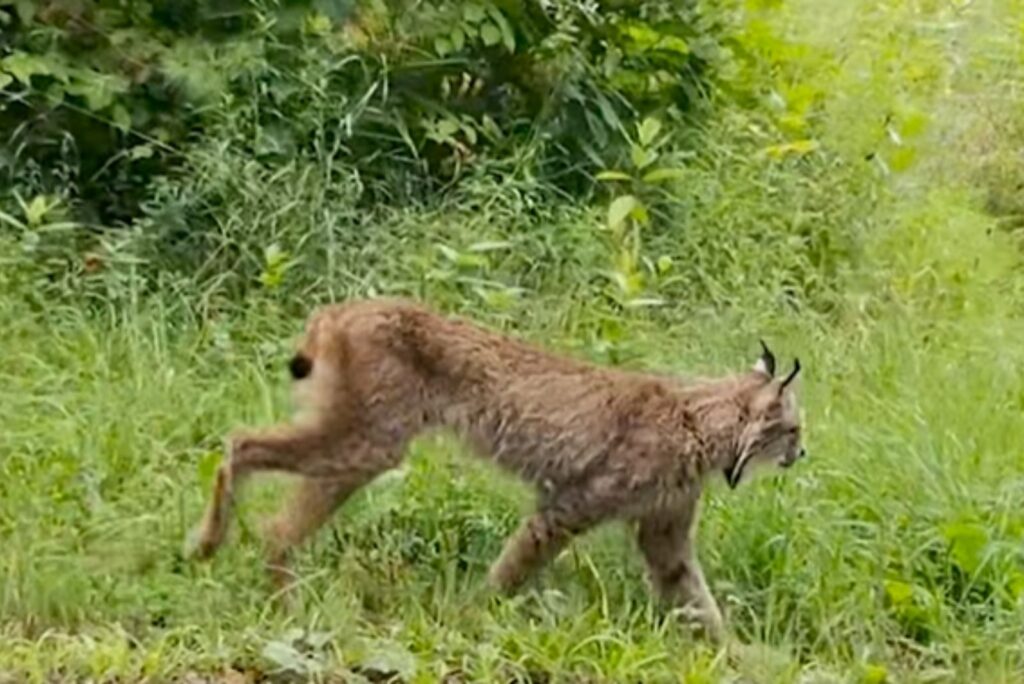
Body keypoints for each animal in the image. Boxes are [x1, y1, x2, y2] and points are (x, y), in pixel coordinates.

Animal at [187, 298, 806, 639]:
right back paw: (214, 549)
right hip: (371, 440)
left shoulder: (664, 532)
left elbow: (698, 601)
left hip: (365, 441)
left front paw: (744, 658)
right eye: (794, 429)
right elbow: (512, 569)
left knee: (273, 513)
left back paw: (275, 595)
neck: (704, 424)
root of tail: (344, 307)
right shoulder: (565, 508)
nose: (802, 455)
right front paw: (472, 616)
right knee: (241, 445)